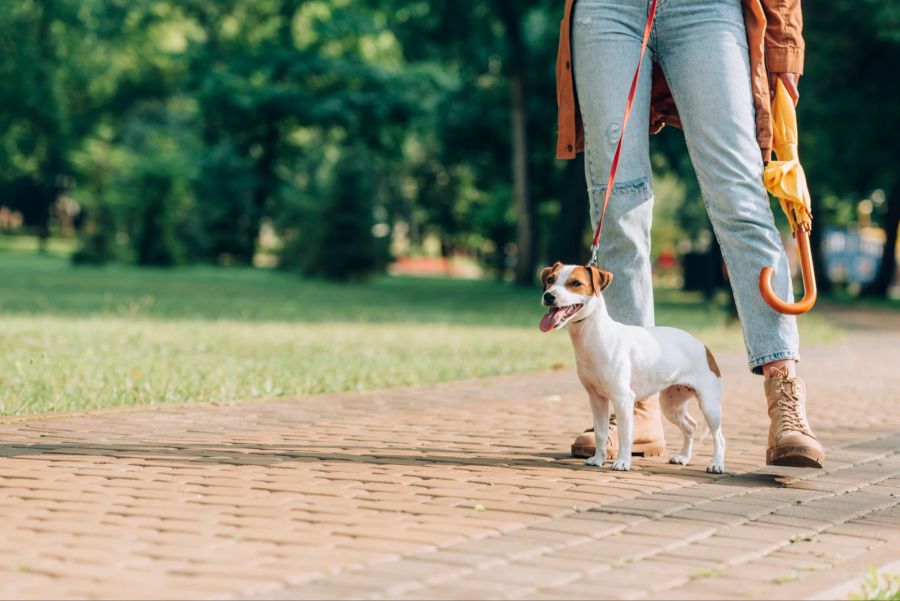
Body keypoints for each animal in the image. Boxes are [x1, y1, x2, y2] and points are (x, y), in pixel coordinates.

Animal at [540, 262, 724, 474]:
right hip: (671, 405)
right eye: (550, 280)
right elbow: (601, 432)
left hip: (709, 405)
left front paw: (623, 462)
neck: (594, 336)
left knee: (719, 437)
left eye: (576, 283)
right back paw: (683, 457)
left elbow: (624, 434)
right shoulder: (597, 399)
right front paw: (598, 459)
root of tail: (703, 346)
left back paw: (717, 464)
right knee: (690, 426)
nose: (549, 296)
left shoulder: (623, 399)